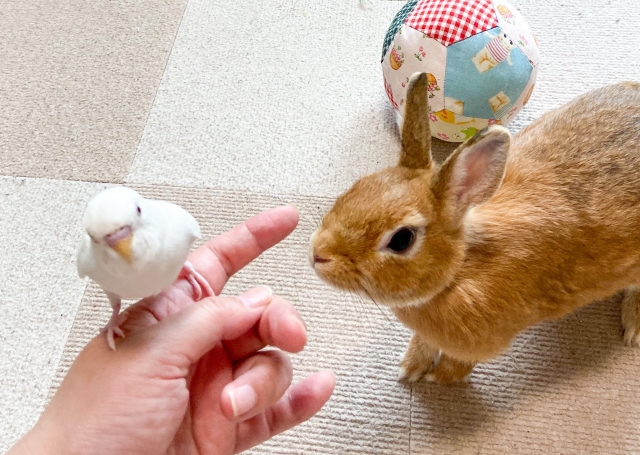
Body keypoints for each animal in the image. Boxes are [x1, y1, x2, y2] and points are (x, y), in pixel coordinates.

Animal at [312, 73, 640, 382]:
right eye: (359, 186)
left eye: (402, 239)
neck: (460, 269)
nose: (317, 254)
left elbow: (461, 362)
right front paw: (411, 367)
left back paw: (634, 328)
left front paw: (442, 377)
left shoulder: (481, 344)